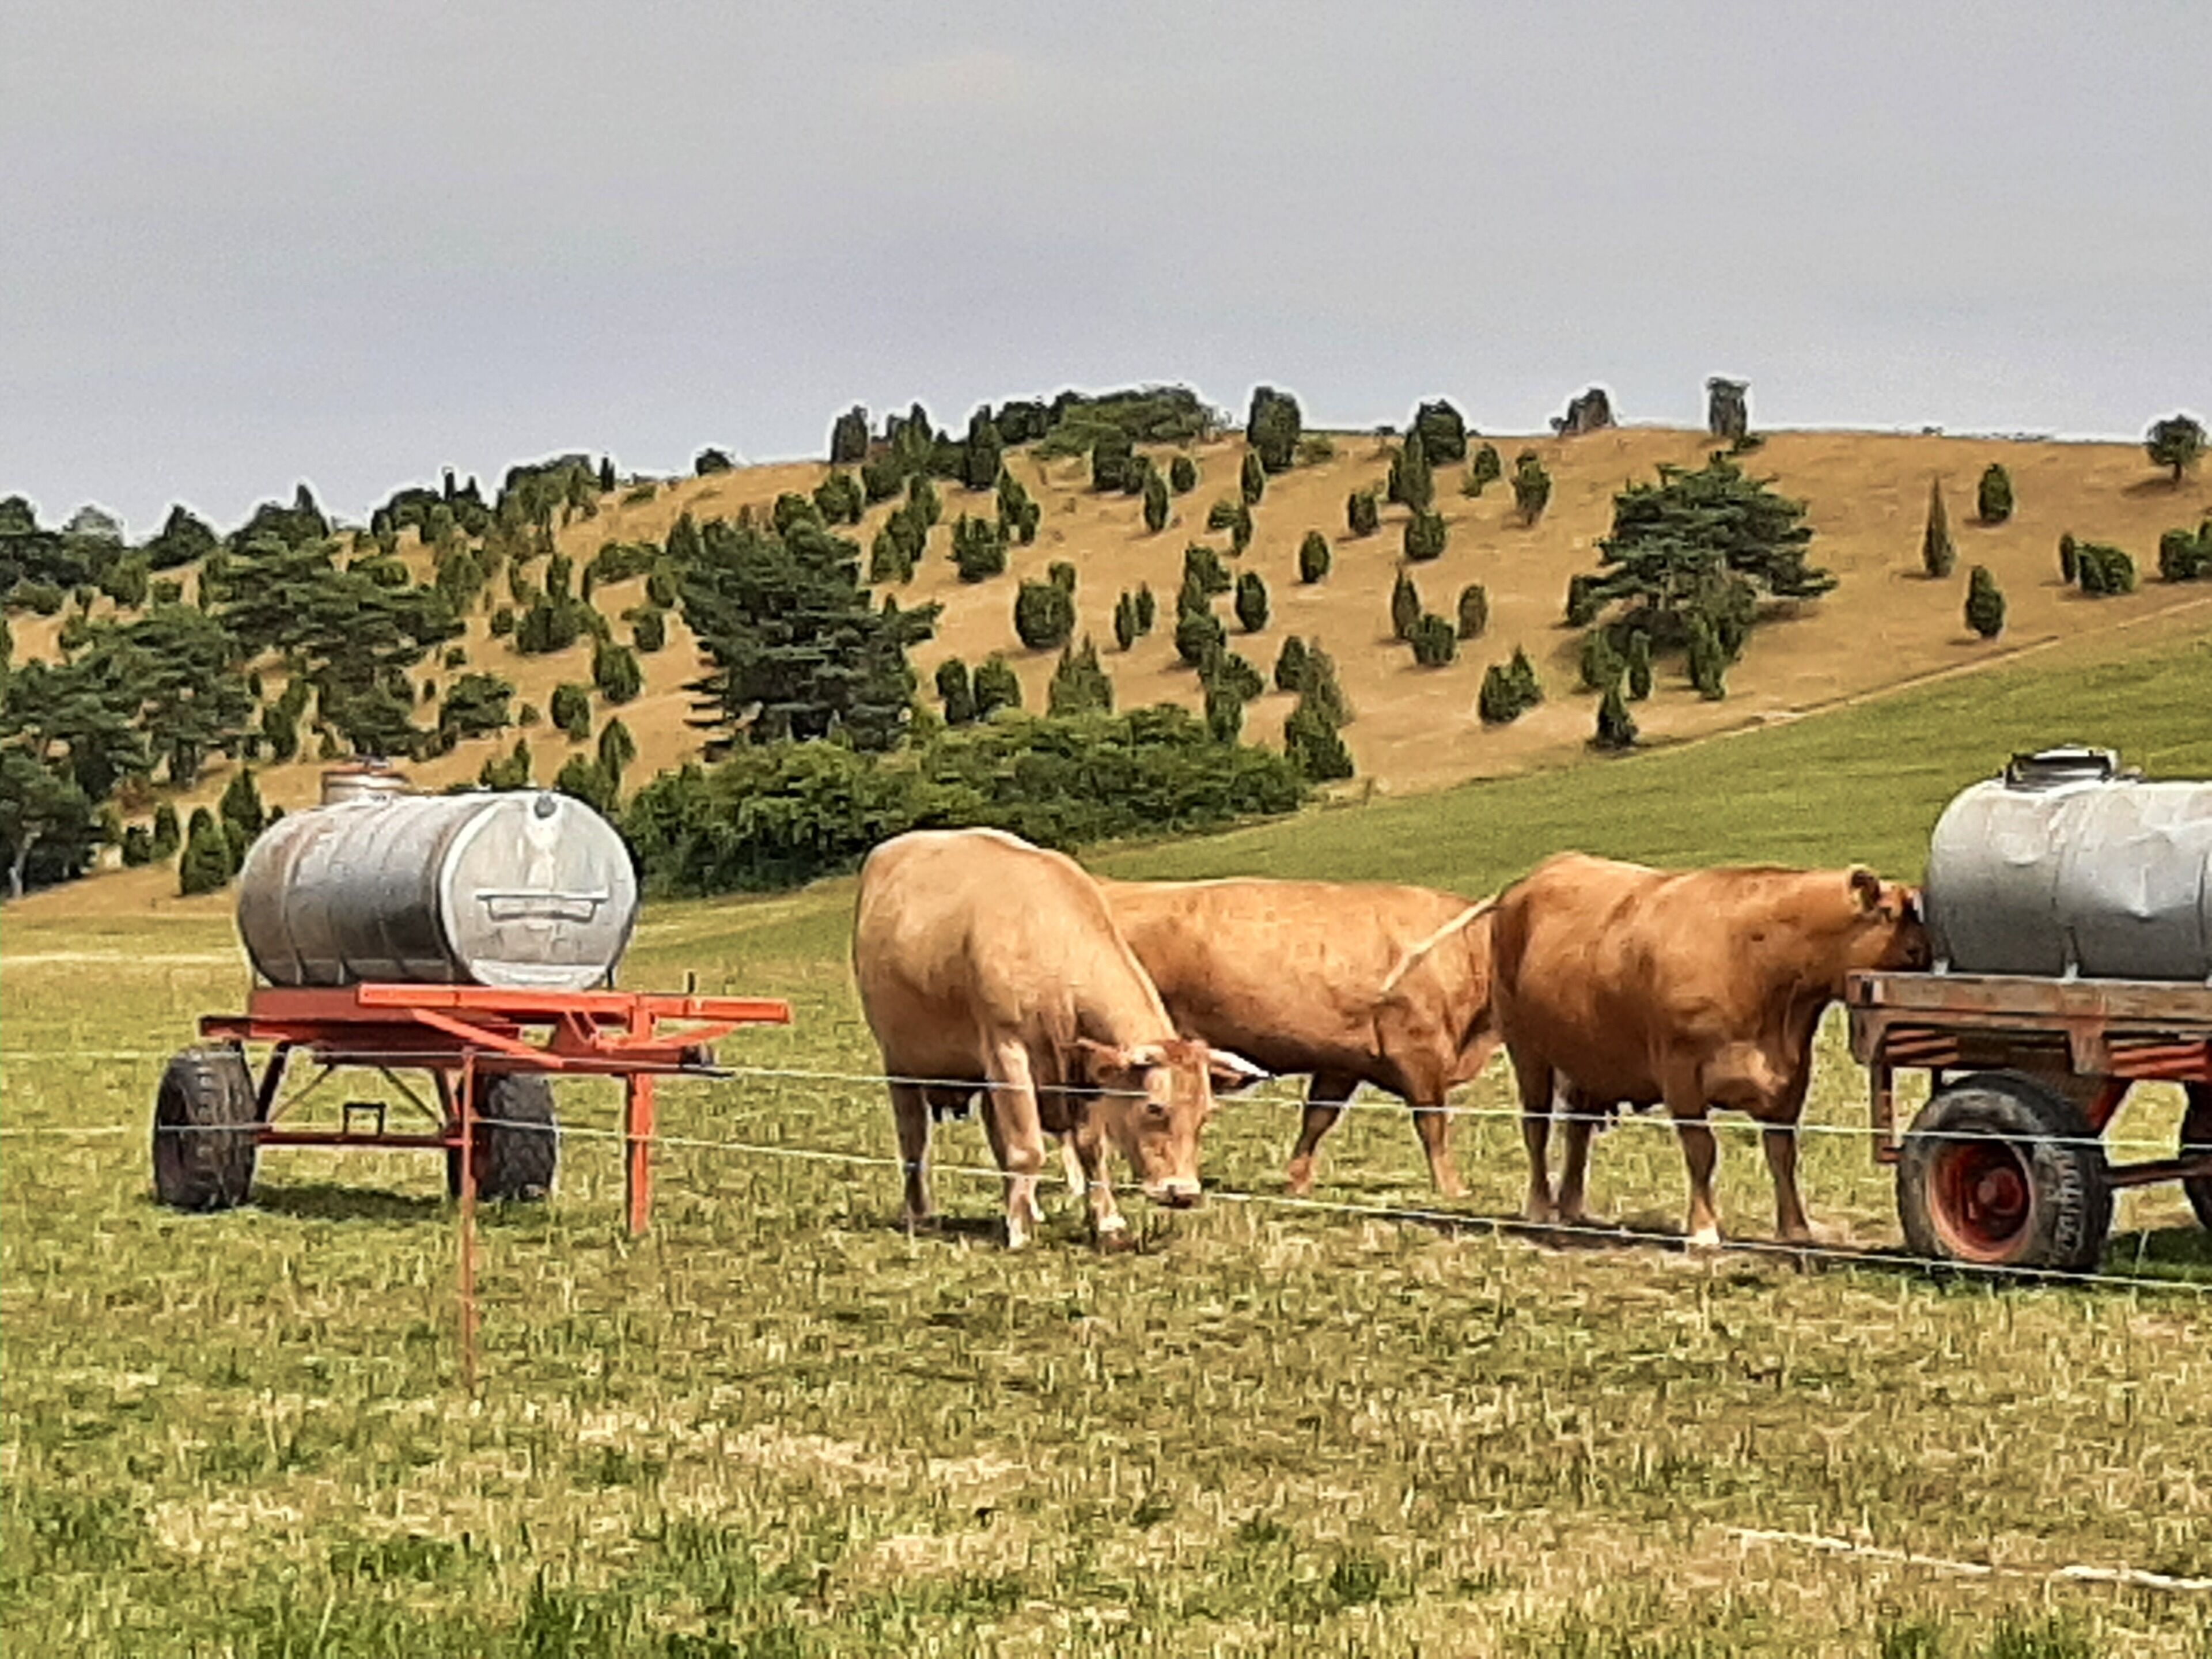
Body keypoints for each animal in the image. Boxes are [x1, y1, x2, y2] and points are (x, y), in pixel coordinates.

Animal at [851, 828, 1262, 1248]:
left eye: (1205, 1115)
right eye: (1154, 1108)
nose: (1184, 1193)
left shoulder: (1081, 1073)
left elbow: (1089, 1148)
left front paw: (1107, 1222)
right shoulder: (1007, 1052)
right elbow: (1027, 1149)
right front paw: (1019, 1233)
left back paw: (1025, 1206)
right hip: (900, 1062)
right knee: (914, 1140)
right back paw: (921, 1214)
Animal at [1099, 877, 1500, 1196]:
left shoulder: (1343, 1062)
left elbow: (1318, 1118)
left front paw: (1298, 1181)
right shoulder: (1419, 1056)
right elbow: (1433, 1125)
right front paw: (1451, 1189)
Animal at [1489, 854, 1928, 1247]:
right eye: (1912, 951)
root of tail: (1533, 879)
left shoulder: (1791, 1075)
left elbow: (1782, 1155)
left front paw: (1795, 1229)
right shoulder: (1680, 1071)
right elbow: (1702, 1150)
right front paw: (1703, 1230)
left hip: (1587, 1058)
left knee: (1577, 1129)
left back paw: (1573, 1208)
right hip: (1526, 1049)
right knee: (1536, 1126)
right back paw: (1540, 1207)